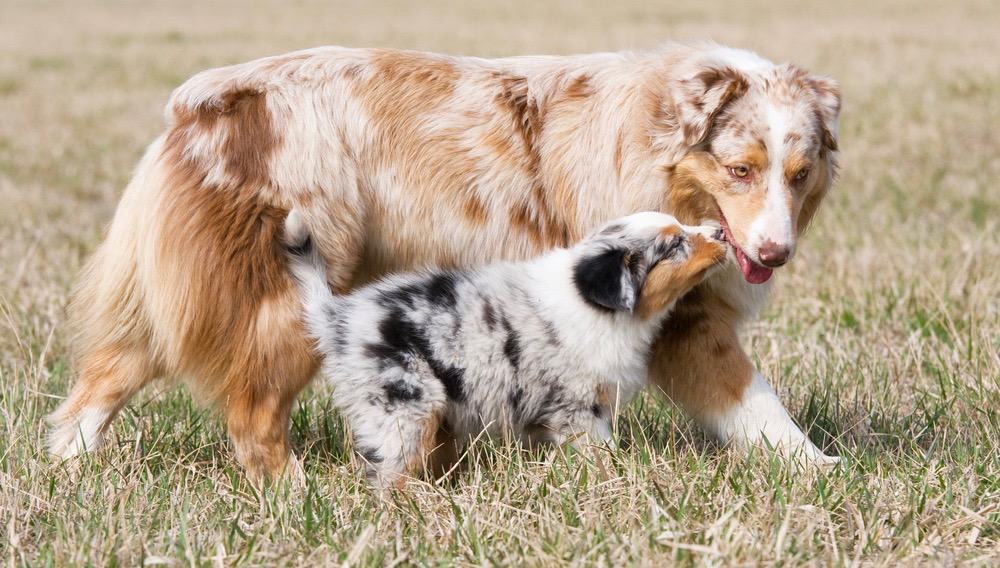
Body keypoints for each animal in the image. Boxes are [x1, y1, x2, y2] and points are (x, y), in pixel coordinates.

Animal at [286, 211, 724, 486]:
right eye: (674, 245)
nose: (720, 230)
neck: (596, 305)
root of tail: (337, 316)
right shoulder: (580, 410)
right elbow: (601, 453)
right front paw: (612, 479)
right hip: (403, 408)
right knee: (389, 473)